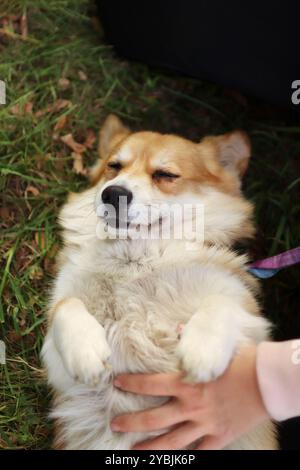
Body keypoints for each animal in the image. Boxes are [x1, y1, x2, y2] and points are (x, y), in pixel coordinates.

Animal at [41, 115, 276, 450]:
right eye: (114, 166)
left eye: (165, 174)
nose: (112, 193)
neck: (136, 260)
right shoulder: (58, 367)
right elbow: (65, 305)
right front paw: (85, 351)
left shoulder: (253, 330)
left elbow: (221, 303)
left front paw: (202, 349)